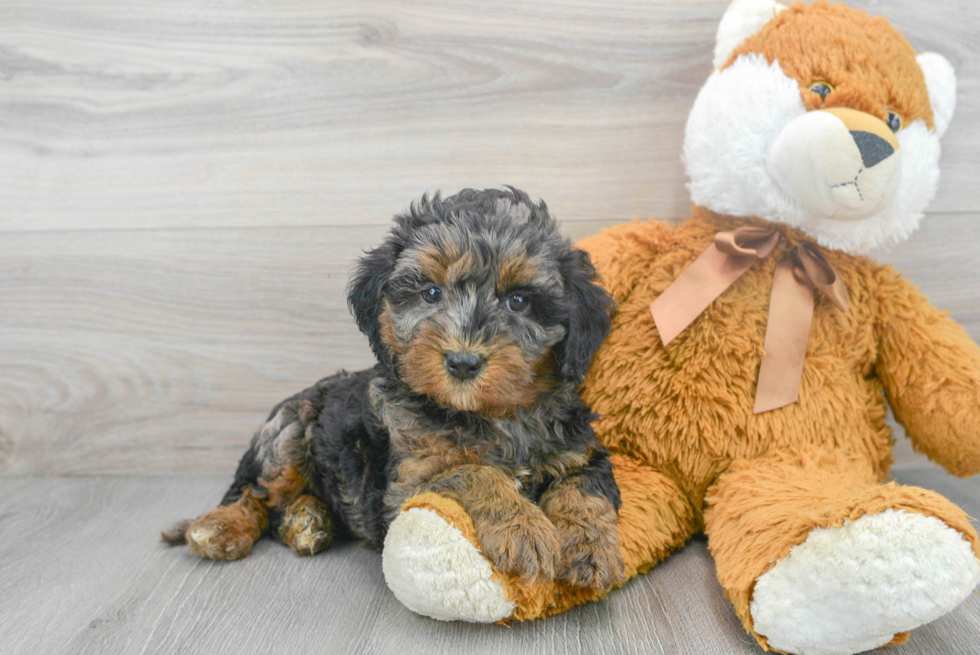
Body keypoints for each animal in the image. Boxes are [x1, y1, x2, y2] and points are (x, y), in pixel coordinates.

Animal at [160, 188, 620, 588]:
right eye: (430, 293)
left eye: (519, 302)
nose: (463, 362)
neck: (490, 415)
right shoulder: (408, 485)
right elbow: (470, 472)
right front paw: (524, 528)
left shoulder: (581, 453)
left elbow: (583, 491)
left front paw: (590, 549)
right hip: (289, 430)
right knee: (254, 492)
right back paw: (222, 526)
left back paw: (307, 522)